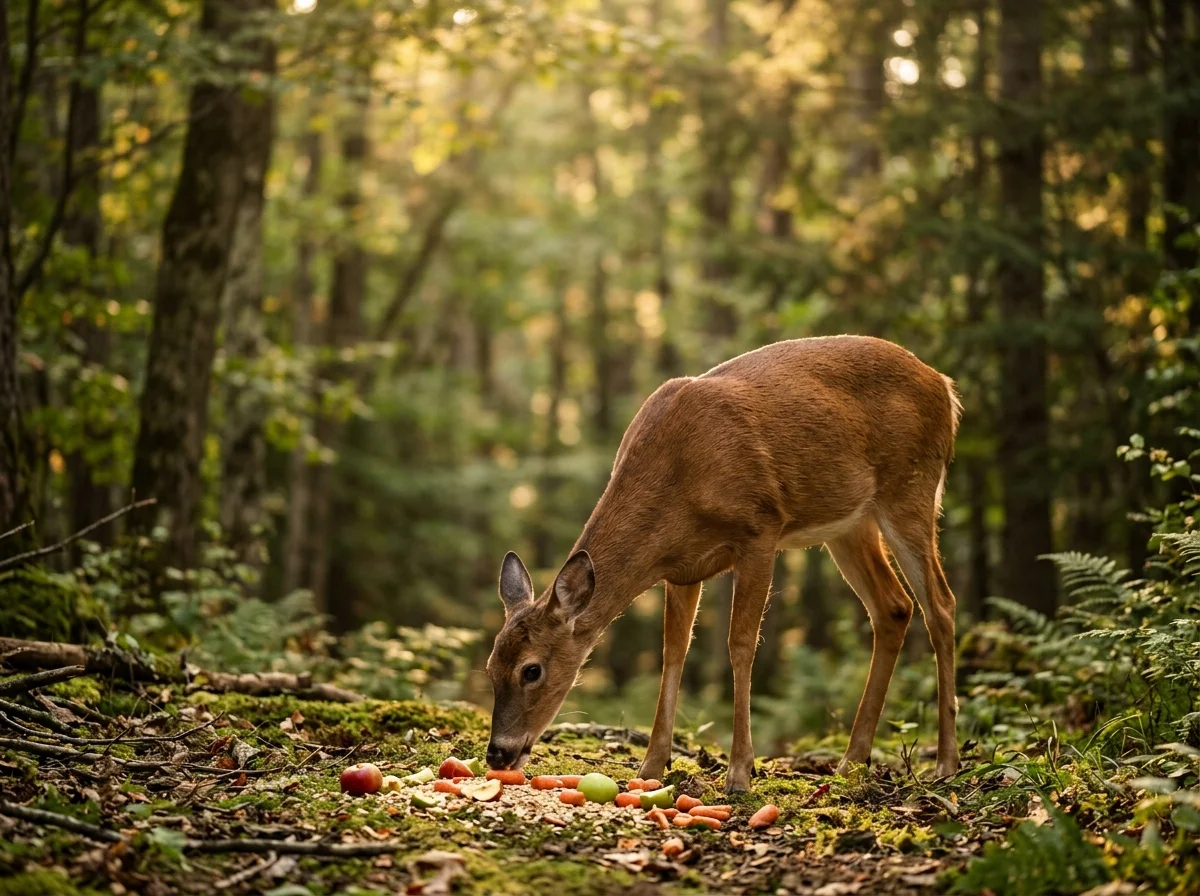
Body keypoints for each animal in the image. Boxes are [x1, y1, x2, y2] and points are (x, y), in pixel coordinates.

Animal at [485, 336, 962, 792]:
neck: (678, 482)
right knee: (893, 607)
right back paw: (852, 762)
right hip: (849, 523)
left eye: (532, 670)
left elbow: (741, 644)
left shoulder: (760, 528)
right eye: (490, 668)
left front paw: (739, 773)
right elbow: (673, 652)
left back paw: (946, 763)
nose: (497, 754)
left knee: (941, 604)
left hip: (910, 487)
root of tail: (945, 386)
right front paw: (651, 766)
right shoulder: (680, 568)